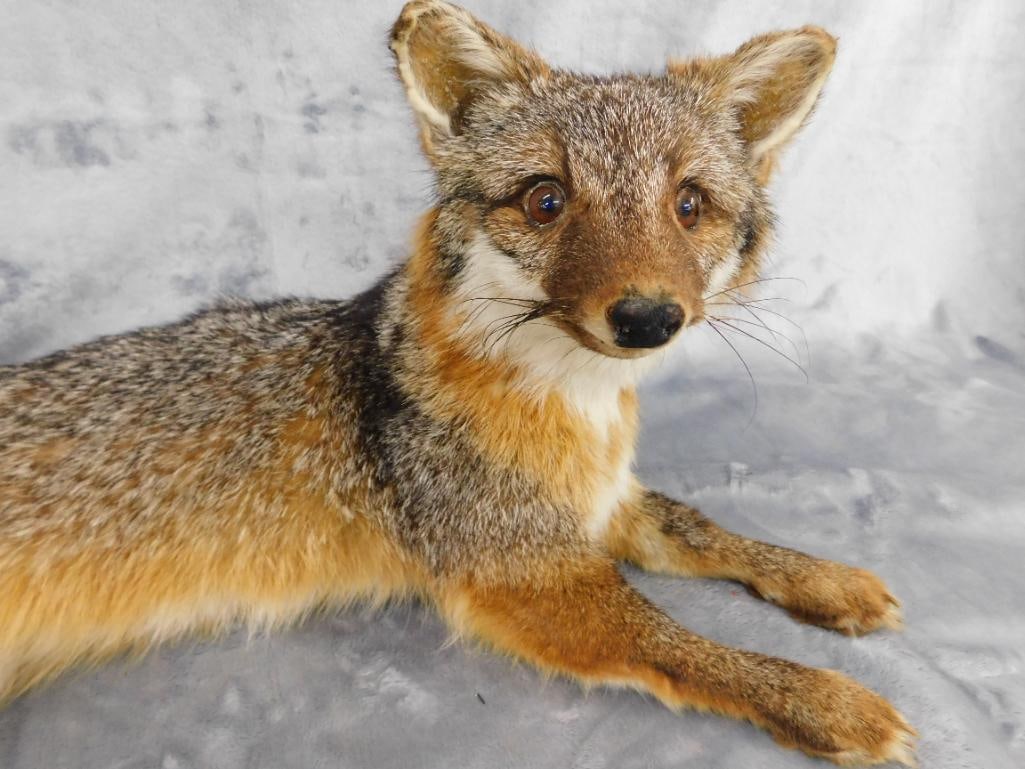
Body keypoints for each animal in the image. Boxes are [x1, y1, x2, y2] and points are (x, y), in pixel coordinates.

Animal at [0, 1, 916, 765]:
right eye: (545, 200)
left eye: (688, 207)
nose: (649, 317)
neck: (577, 409)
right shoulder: (530, 569)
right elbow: (680, 643)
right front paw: (822, 698)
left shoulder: (597, 505)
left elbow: (702, 526)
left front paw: (821, 579)